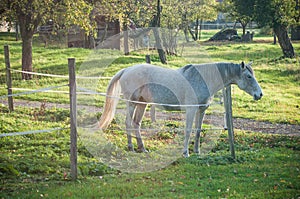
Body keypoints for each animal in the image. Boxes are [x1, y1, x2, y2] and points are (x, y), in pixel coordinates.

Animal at [98, 62, 262, 157]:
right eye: (248, 76)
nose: (260, 94)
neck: (202, 79)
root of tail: (127, 69)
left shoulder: (201, 110)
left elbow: (198, 131)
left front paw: (197, 151)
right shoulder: (191, 110)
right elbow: (188, 131)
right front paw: (185, 153)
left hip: (142, 104)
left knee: (136, 124)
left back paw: (142, 148)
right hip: (132, 103)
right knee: (128, 123)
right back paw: (131, 147)